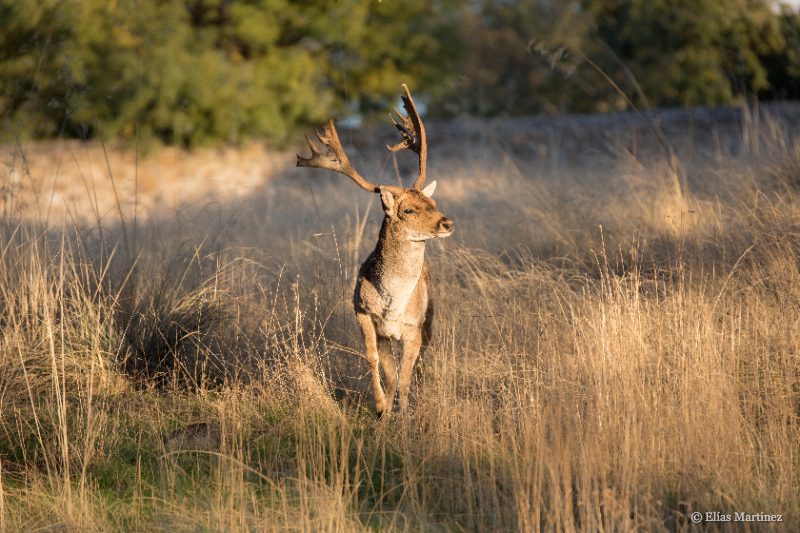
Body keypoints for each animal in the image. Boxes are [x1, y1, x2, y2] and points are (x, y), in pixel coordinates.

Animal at [296, 84, 454, 417]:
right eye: (408, 210)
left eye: (433, 203)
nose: (446, 222)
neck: (392, 304)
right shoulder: (363, 314)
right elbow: (375, 361)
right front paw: (382, 406)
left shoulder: (413, 327)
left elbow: (405, 377)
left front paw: (405, 416)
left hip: (429, 318)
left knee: (420, 363)